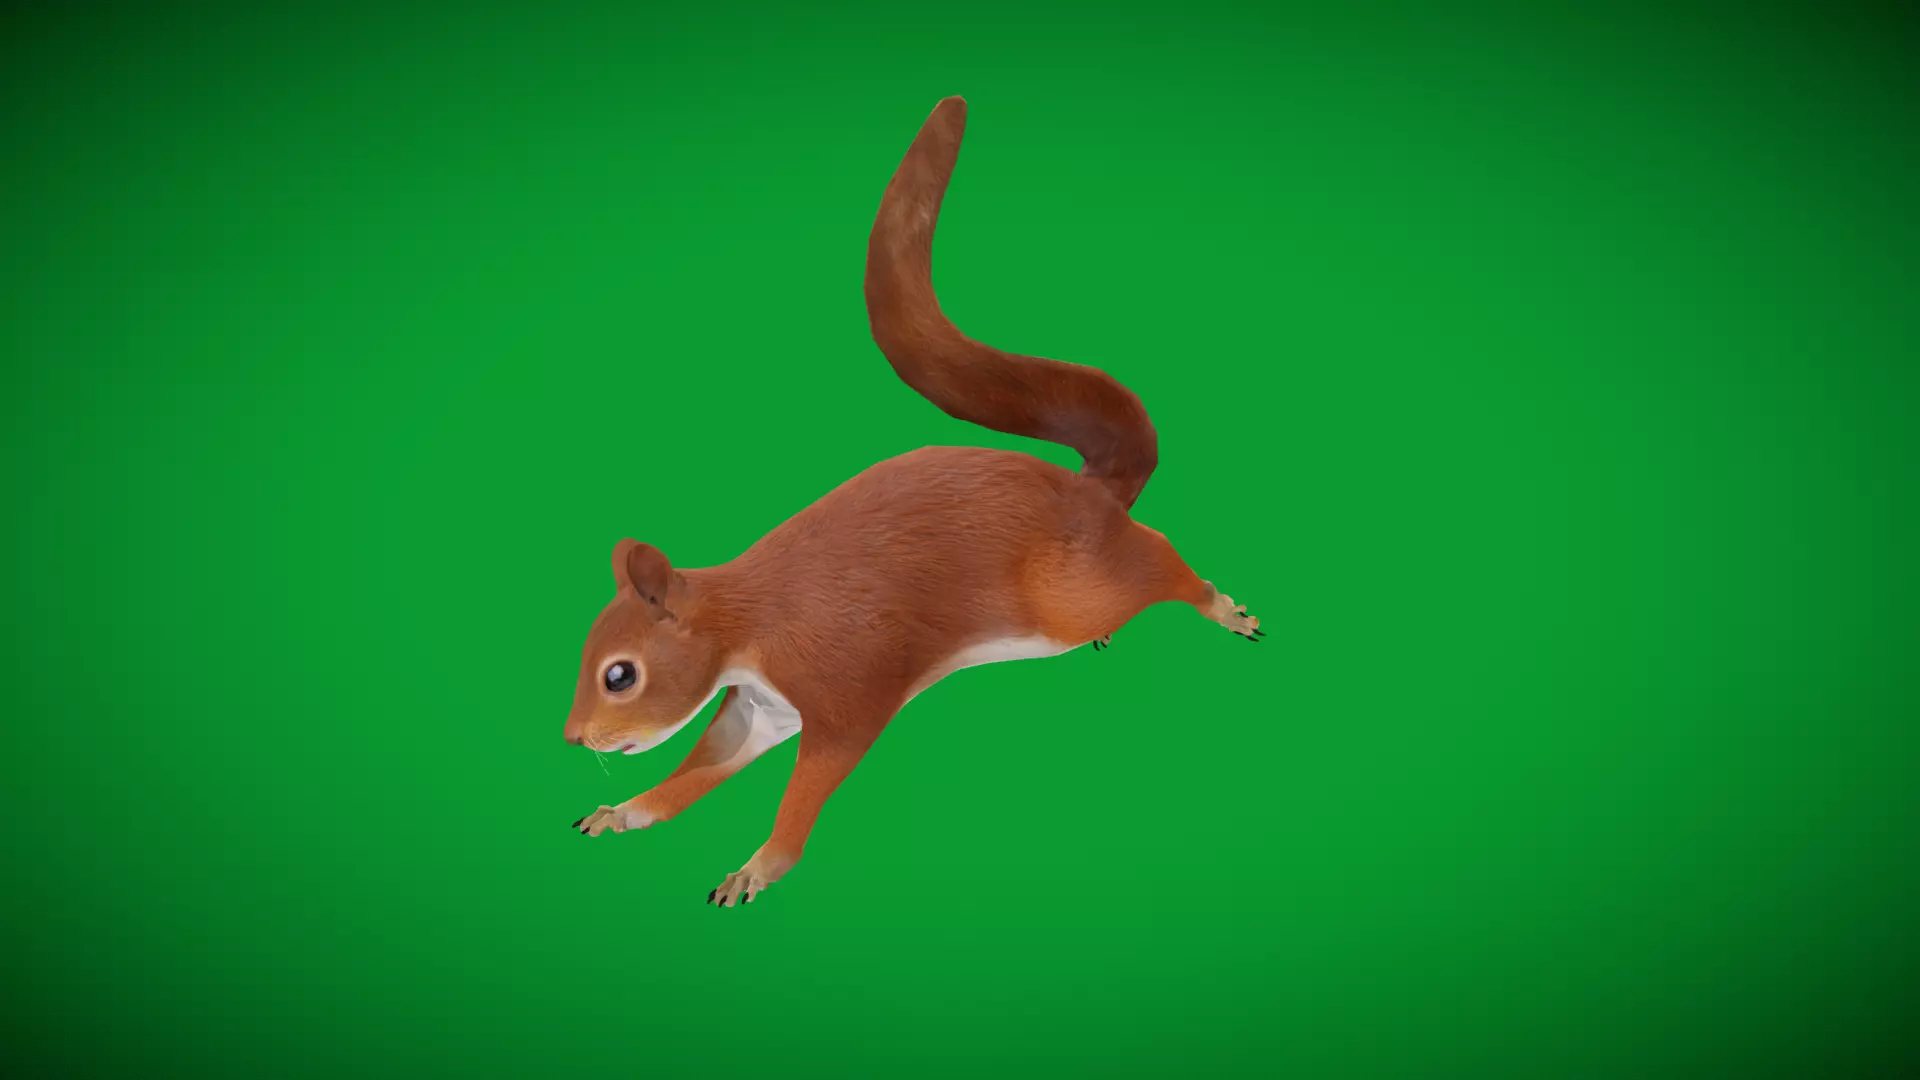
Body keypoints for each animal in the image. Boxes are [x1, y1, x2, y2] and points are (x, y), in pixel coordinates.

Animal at [563, 96, 1262, 908]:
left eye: (620, 674)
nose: (574, 739)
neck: (748, 624)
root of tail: (1089, 491)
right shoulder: (758, 710)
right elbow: (694, 774)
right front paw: (625, 810)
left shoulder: (844, 688)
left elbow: (807, 789)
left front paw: (759, 866)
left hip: (1074, 590)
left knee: (1160, 559)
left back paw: (1223, 607)